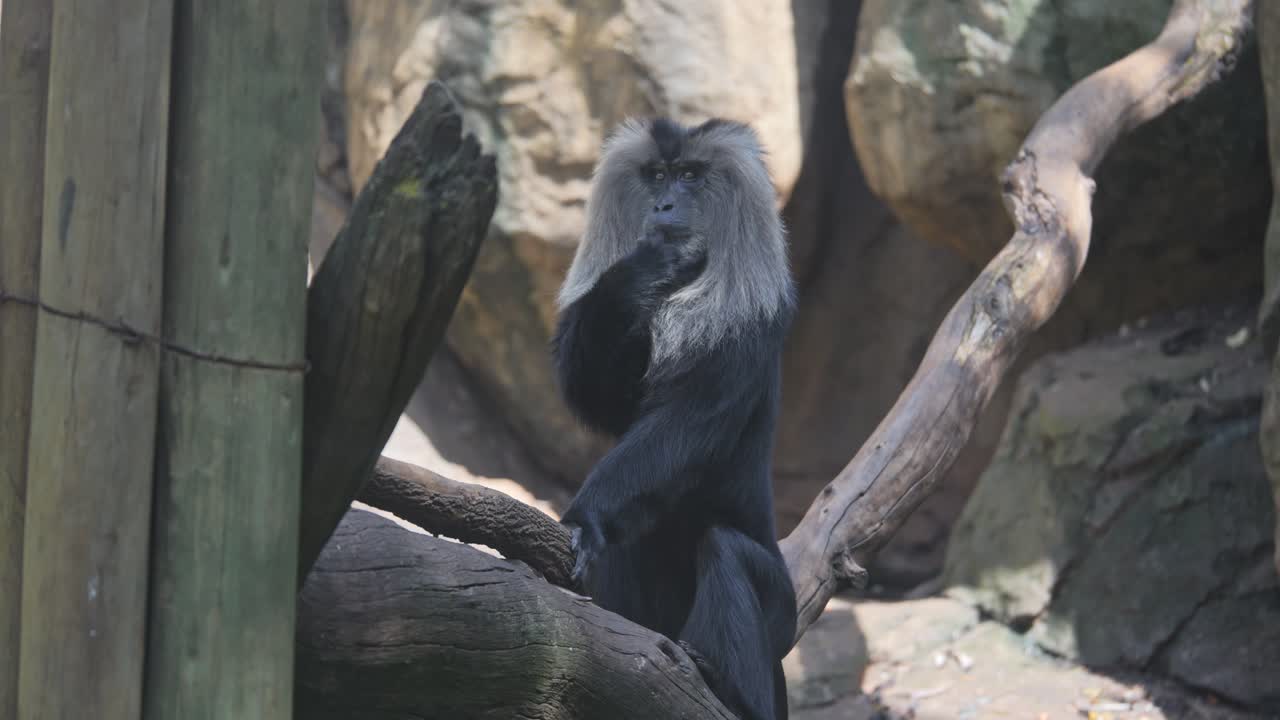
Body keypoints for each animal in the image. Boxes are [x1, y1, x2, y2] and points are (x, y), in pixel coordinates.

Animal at [551, 116, 797, 720]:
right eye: (657, 176)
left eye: (689, 176)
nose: (663, 206)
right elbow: (597, 399)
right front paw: (642, 270)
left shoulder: (746, 334)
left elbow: (684, 427)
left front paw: (584, 514)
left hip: (781, 616)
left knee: (725, 548)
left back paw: (728, 688)